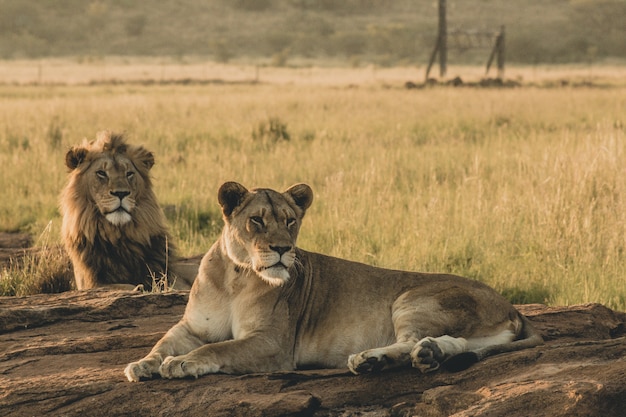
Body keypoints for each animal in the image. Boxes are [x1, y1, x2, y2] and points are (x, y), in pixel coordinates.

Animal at [61, 132, 194, 290]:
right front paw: (137, 288)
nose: (121, 193)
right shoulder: (92, 282)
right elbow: (123, 286)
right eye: (101, 173)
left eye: (129, 173)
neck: (119, 236)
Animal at [123, 182, 540, 380]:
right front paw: (142, 365)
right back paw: (426, 355)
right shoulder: (191, 326)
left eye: (290, 220)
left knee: (409, 341)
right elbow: (163, 344)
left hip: (413, 298)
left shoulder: (273, 344)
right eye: (256, 220)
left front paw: (182, 364)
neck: (235, 276)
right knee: (453, 343)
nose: (282, 248)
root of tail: (512, 306)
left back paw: (370, 360)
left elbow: (218, 349)